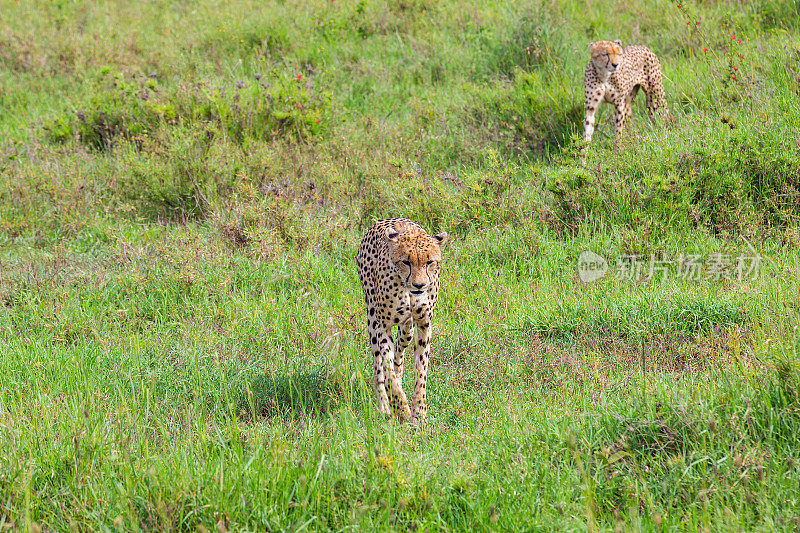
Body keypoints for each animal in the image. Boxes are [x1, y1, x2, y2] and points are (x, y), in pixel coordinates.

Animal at [358, 218, 450, 422]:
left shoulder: (424, 324)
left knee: (399, 354)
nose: (419, 285)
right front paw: (400, 407)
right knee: (379, 369)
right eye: (406, 262)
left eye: (429, 262)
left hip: (407, 329)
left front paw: (419, 412)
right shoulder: (382, 326)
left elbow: (421, 370)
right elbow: (386, 368)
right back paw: (385, 407)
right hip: (372, 318)